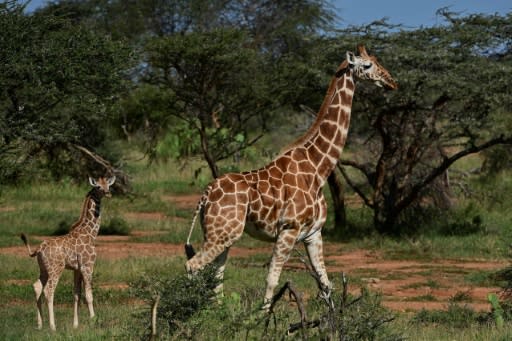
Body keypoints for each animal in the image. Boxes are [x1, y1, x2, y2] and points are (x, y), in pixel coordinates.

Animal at [21, 175, 115, 330]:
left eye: (108, 185)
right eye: (98, 187)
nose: (108, 193)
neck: (91, 233)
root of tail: (39, 249)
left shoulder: (76, 269)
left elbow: (76, 294)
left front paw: (75, 324)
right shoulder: (87, 265)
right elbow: (89, 294)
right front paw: (93, 321)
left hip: (43, 269)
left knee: (37, 287)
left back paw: (40, 325)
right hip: (56, 268)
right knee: (48, 290)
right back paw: (53, 326)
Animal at [186, 44, 398, 308]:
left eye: (377, 61)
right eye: (367, 65)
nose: (391, 82)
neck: (317, 168)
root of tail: (205, 195)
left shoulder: (314, 234)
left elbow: (325, 283)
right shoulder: (289, 229)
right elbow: (272, 278)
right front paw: (262, 315)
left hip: (221, 234)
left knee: (215, 272)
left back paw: (217, 310)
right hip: (222, 233)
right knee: (193, 265)